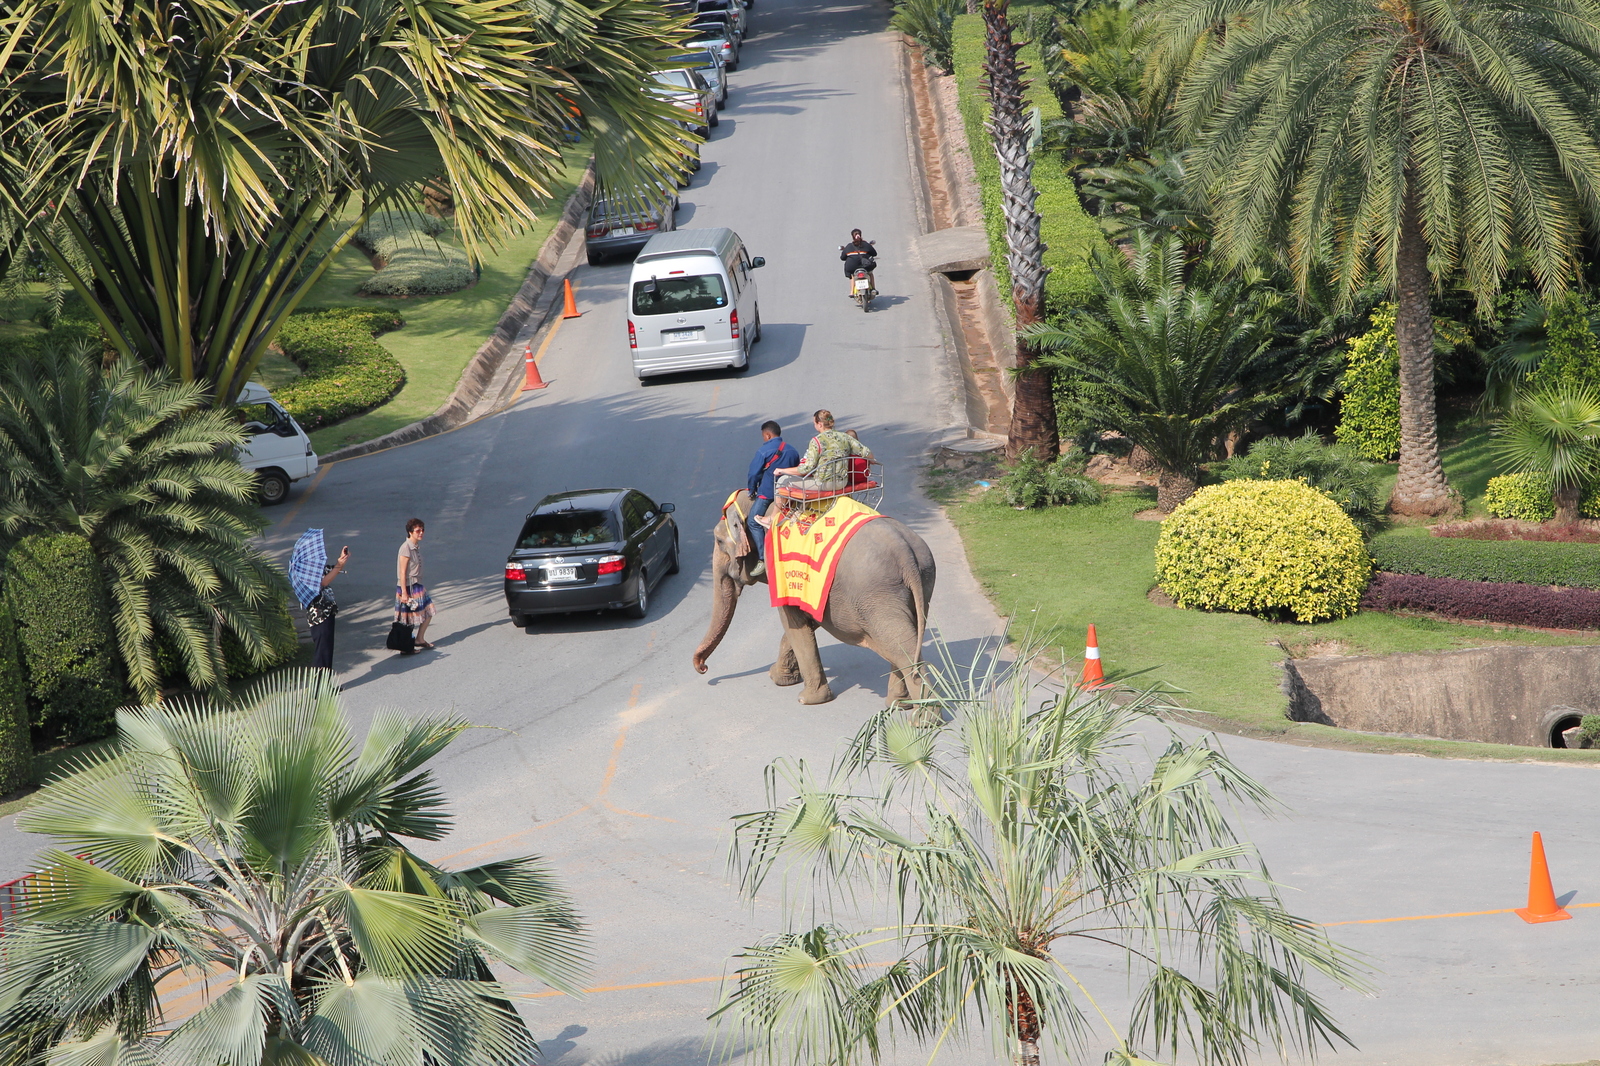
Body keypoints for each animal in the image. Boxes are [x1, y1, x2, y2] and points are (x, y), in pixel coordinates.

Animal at [691, 492, 934, 704]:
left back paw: (920, 719)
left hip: (877, 596)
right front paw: (779, 677)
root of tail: (906, 554)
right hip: (920, 584)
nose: (703, 668)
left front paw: (806, 698)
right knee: (905, 641)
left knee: (901, 648)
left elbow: (792, 622)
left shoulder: (780, 571)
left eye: (718, 541)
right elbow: (805, 621)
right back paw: (898, 704)